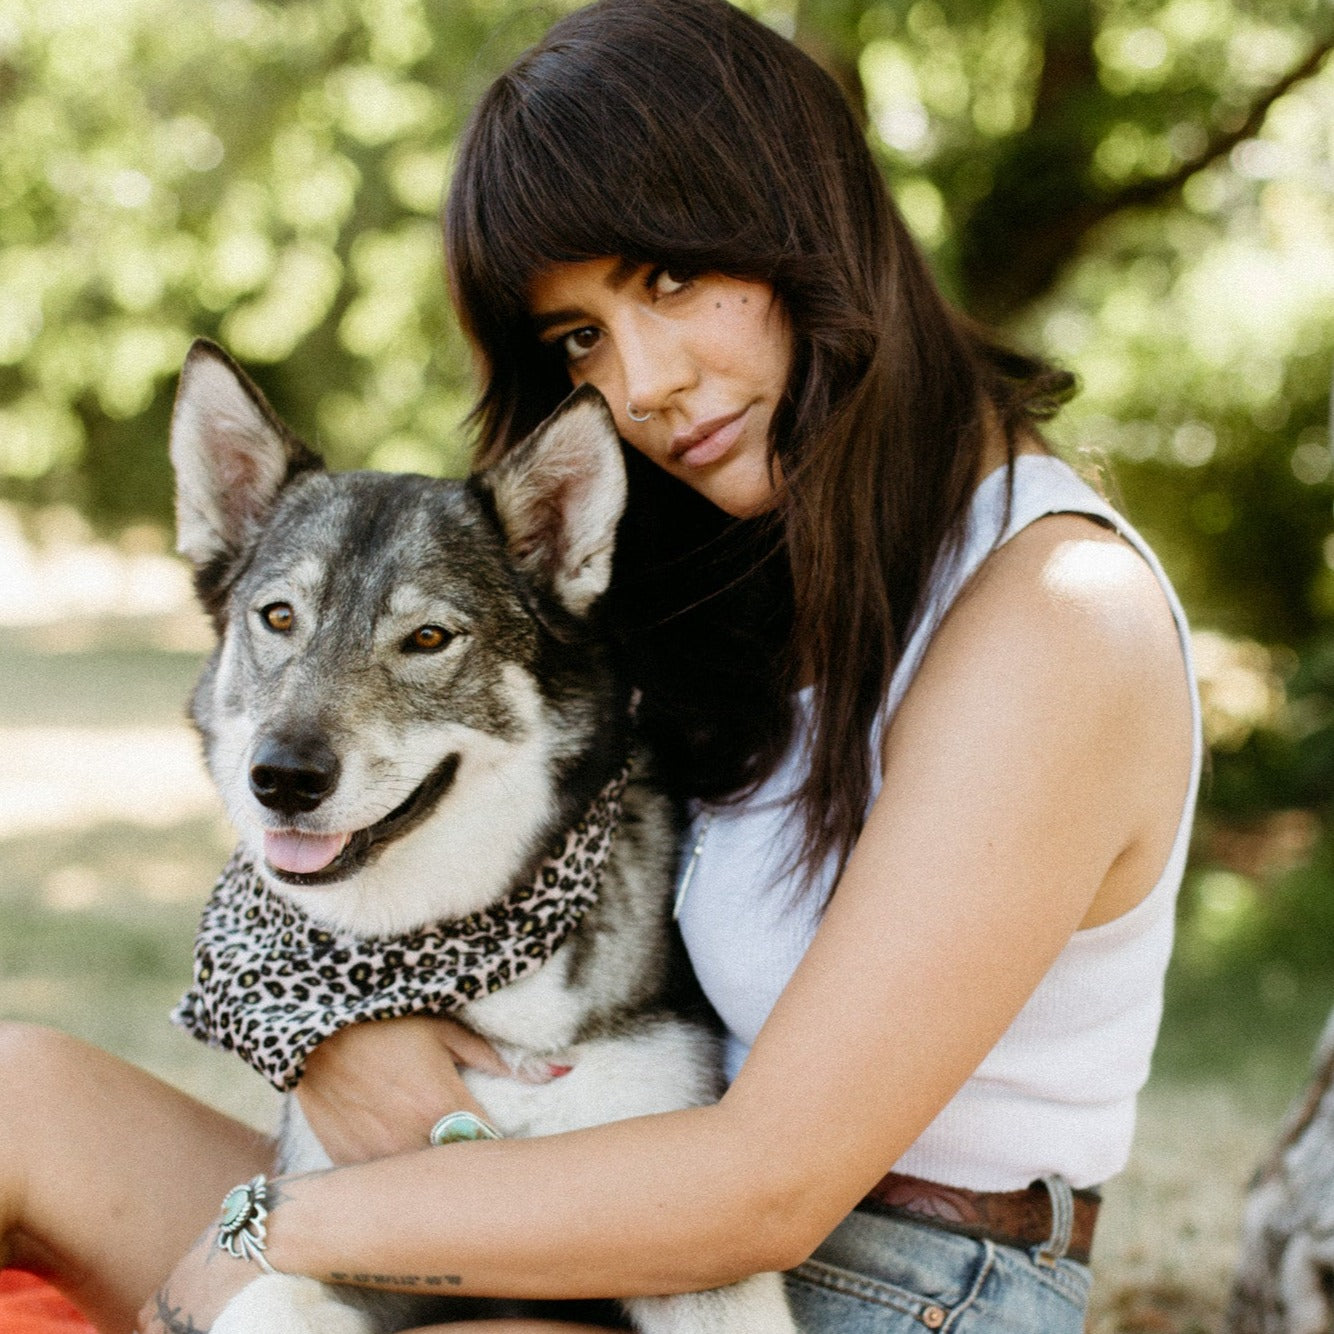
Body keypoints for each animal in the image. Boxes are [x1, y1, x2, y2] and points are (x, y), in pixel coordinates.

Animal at [162, 341, 795, 1334]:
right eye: (279, 618)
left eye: (428, 638)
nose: (285, 778)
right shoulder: (352, 1217)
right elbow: (266, 1293)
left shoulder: (696, 1231)